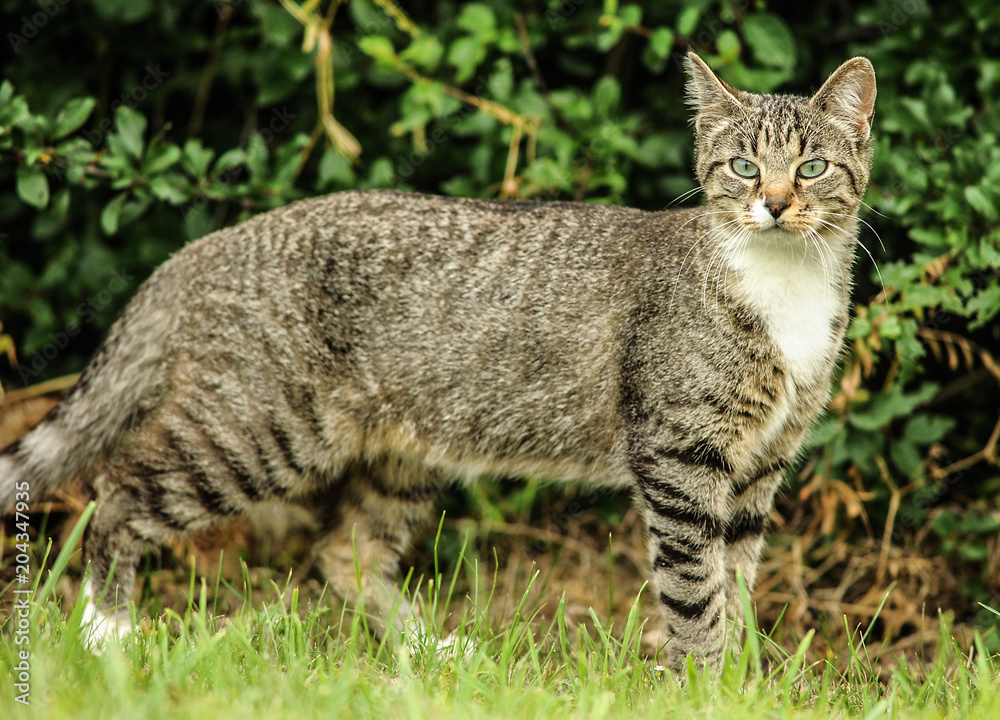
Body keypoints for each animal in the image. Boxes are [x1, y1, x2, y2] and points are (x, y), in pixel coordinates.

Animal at [0, 52, 876, 668]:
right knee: (117, 488)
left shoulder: (761, 465)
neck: (782, 285)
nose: (775, 202)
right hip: (256, 429)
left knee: (344, 551)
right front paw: (703, 683)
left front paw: (739, 681)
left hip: (406, 448)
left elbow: (736, 582)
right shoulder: (680, 454)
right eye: (742, 166)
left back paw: (428, 651)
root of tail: (212, 242)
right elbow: (695, 590)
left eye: (812, 167)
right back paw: (107, 630)